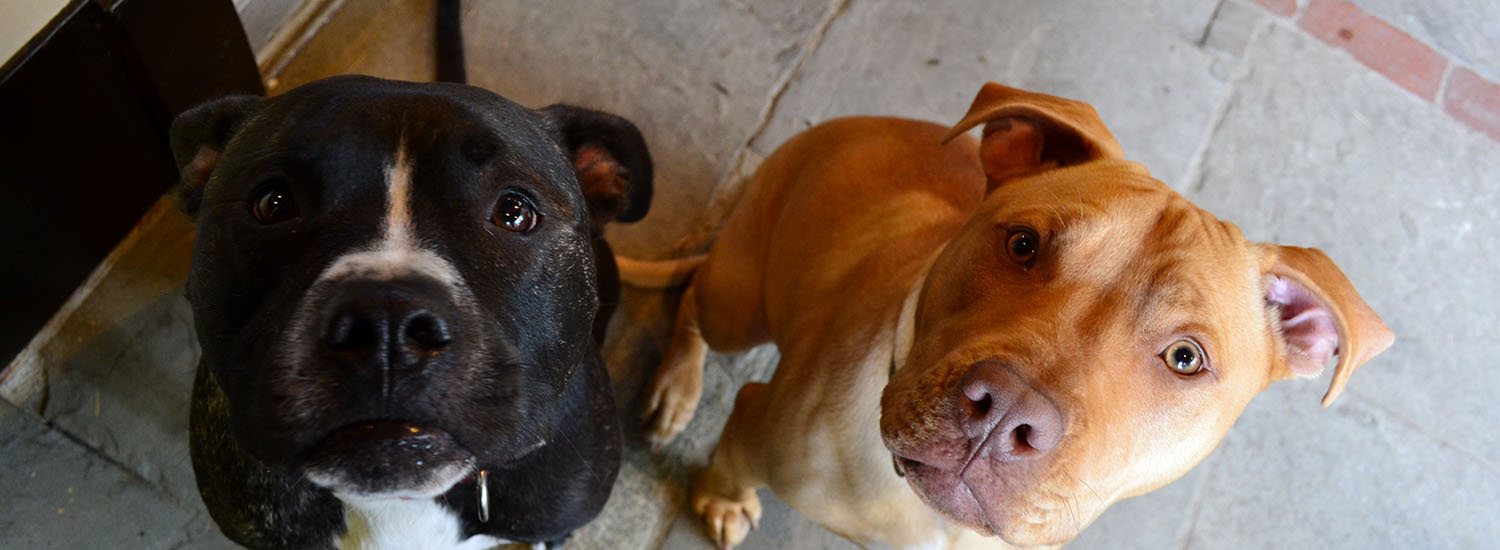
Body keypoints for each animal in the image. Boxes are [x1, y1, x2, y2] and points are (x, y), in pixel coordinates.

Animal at [633, 82, 1392, 550]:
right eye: (1023, 244)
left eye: (1186, 359)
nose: (1003, 415)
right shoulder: (754, 424)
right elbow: (728, 469)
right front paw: (721, 499)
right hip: (737, 302)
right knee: (693, 299)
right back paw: (675, 388)